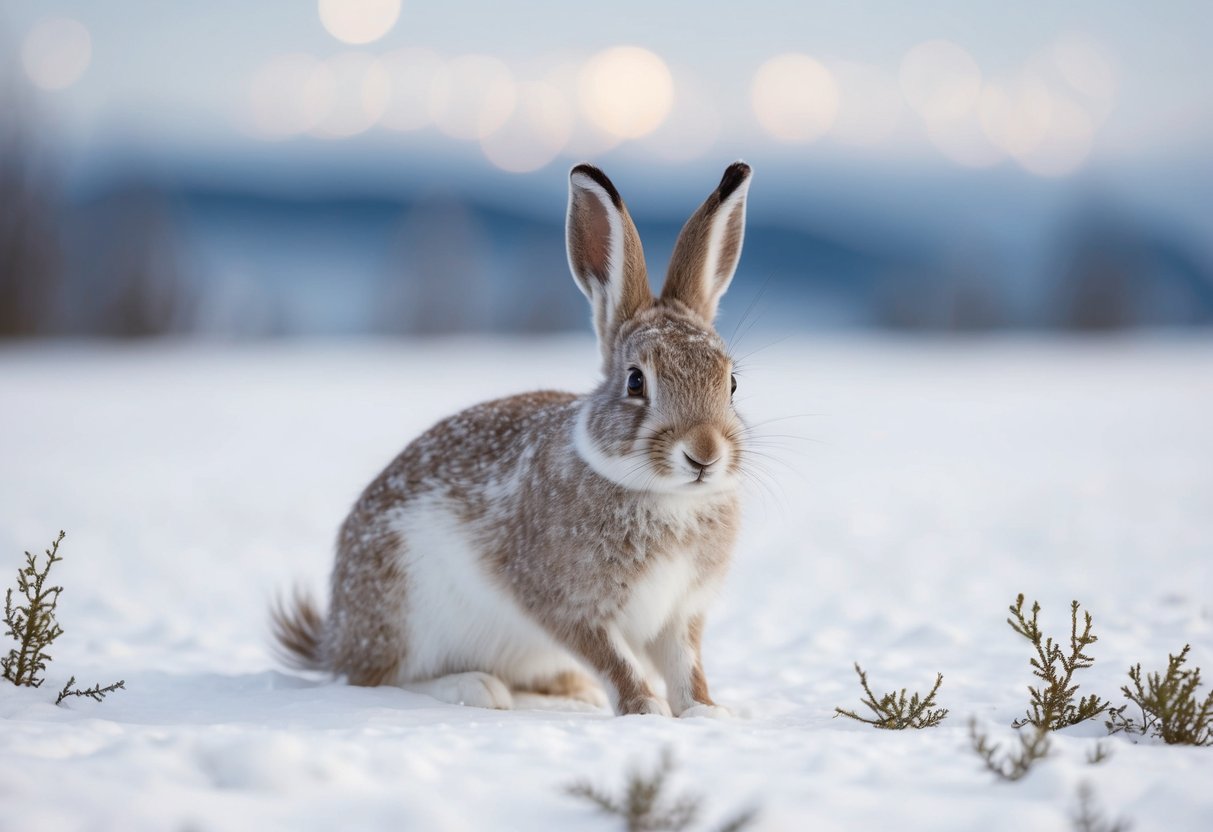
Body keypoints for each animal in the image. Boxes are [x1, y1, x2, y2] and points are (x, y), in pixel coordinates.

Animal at [272, 161, 753, 717]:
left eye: (731, 383)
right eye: (636, 382)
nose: (704, 453)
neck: (666, 497)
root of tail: (335, 637)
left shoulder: (680, 614)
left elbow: (686, 667)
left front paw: (706, 713)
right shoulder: (570, 605)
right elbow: (616, 660)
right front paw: (645, 710)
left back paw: (572, 692)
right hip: (405, 612)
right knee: (375, 680)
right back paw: (474, 688)